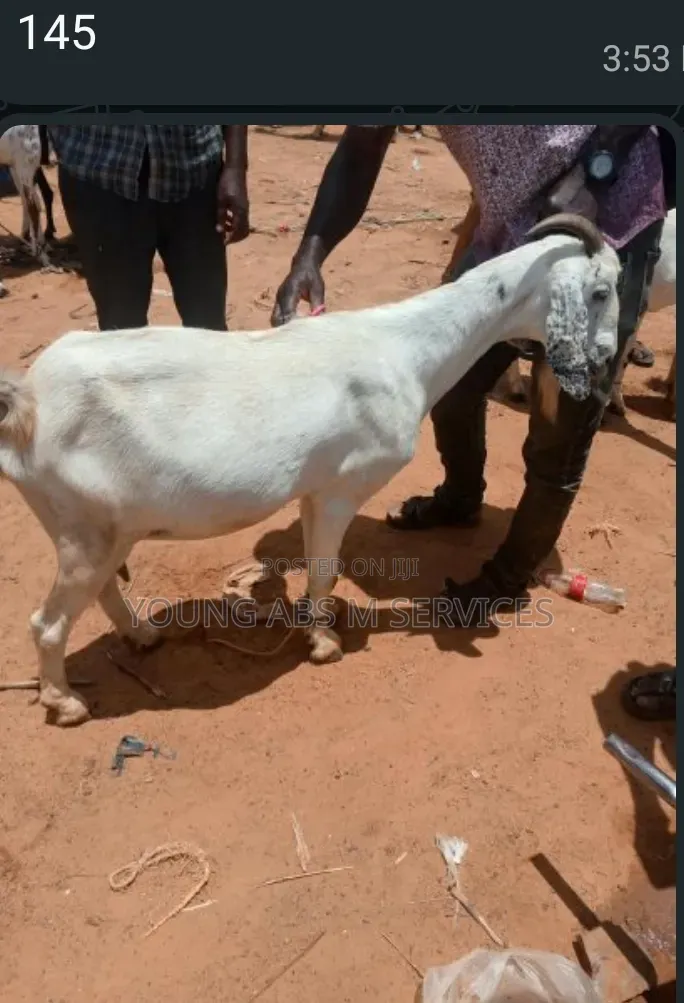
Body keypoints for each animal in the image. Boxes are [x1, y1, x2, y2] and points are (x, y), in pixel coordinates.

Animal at [0, 214, 620, 727]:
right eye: (601, 290)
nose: (606, 358)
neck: (405, 350)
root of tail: (28, 401)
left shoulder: (311, 489)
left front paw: (307, 624)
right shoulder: (343, 488)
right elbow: (326, 569)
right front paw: (323, 643)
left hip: (100, 528)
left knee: (103, 590)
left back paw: (144, 636)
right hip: (86, 529)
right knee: (48, 623)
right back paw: (65, 703)